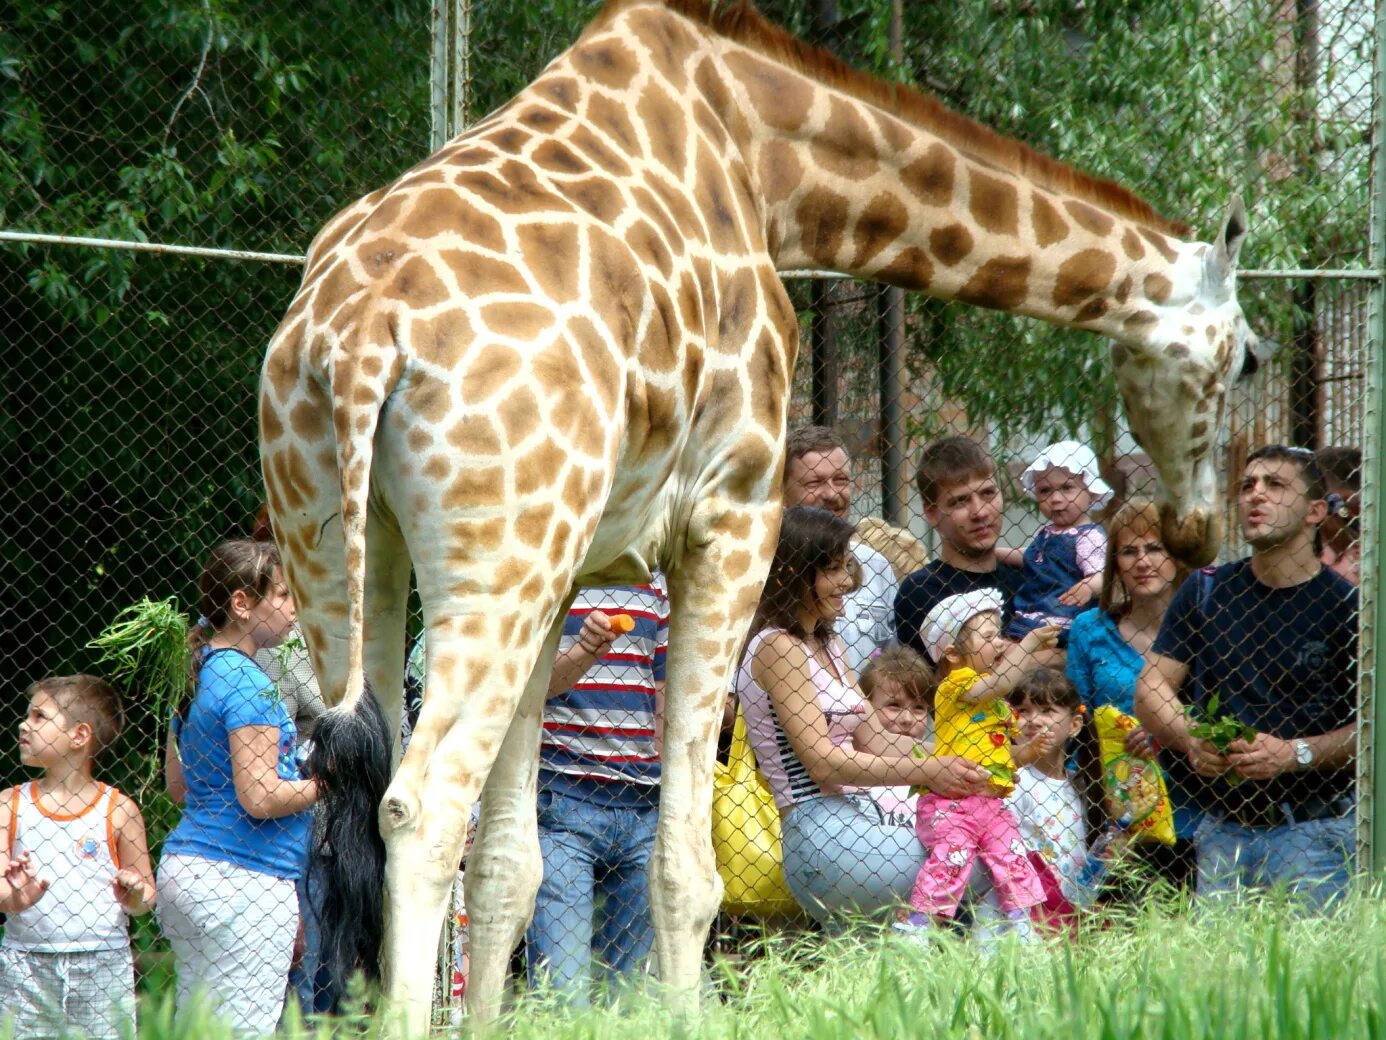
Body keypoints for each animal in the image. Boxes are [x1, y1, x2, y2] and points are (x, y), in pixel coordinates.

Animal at [257, 0, 1258, 1026]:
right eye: (1250, 358)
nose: (1195, 531)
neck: (769, 163)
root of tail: (357, 337)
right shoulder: (730, 517)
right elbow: (684, 870)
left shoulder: (569, 571)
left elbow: (510, 865)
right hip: (494, 564)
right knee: (420, 811)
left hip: (348, 552)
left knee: (359, 801)